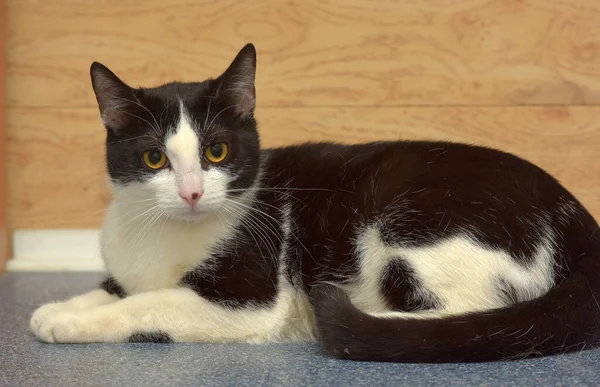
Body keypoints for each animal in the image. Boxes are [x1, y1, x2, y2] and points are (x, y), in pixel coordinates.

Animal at [29, 43, 600, 364]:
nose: (192, 191)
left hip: (415, 225)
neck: (163, 235)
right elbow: (117, 289)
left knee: (470, 316)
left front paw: (71, 324)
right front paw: (58, 309)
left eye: (216, 151)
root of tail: (577, 219)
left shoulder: (251, 300)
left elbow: (147, 305)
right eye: (154, 158)